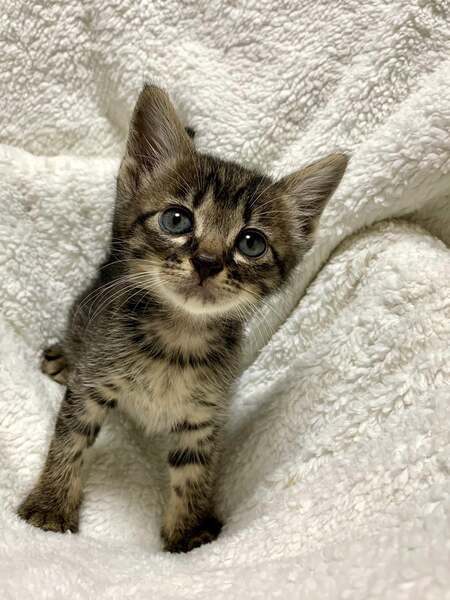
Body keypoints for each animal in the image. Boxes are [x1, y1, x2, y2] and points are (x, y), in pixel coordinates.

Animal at [18, 84, 347, 553]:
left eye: (251, 243)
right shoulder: (91, 386)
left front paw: (188, 534)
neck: (177, 340)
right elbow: (70, 441)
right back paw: (64, 356)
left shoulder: (204, 417)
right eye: (177, 220)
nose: (207, 262)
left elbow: (194, 473)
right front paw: (50, 504)